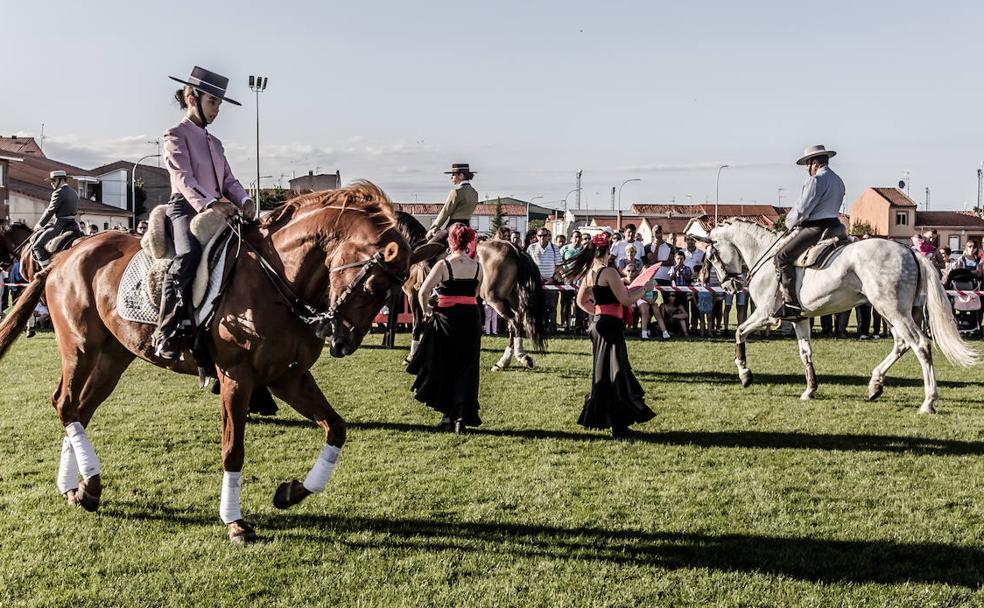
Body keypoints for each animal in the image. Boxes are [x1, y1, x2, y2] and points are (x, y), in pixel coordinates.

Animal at [0, 180, 414, 540]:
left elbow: (336, 428)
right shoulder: (237, 377)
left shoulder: (288, 377)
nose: (343, 342)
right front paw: (235, 522)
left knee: (79, 410)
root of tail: (65, 255)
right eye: (374, 287)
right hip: (80, 348)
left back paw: (80, 488)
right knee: (65, 404)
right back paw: (85, 483)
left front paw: (292, 492)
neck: (277, 279)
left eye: (395, 290)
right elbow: (233, 450)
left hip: (112, 358)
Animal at [708, 218, 976, 414]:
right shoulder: (800, 319)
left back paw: (928, 402)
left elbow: (739, 332)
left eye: (711, 256)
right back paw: (875, 385)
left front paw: (744, 374)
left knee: (920, 345)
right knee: (902, 344)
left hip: (893, 310)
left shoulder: (764, 314)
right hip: (892, 311)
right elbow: (806, 353)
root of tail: (909, 251)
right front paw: (810, 390)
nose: (729, 286)